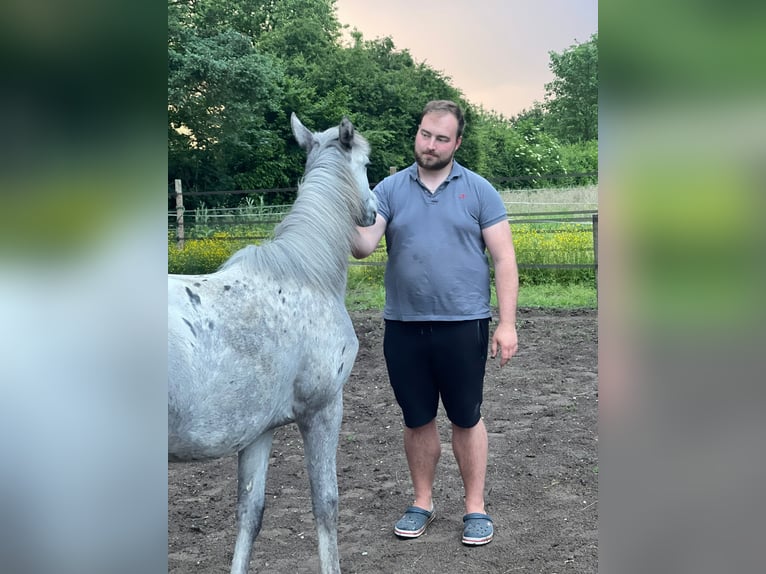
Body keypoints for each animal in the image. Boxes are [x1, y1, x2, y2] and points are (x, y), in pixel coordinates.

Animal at [171, 113, 380, 574]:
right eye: (365, 165)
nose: (374, 211)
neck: (305, 274)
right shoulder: (323, 411)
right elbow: (326, 504)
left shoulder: (257, 431)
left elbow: (250, 513)